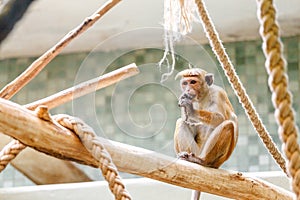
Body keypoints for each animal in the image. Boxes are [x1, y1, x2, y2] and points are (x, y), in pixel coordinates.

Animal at [175, 68, 238, 199]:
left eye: (193, 82)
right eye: (185, 83)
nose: (187, 89)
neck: (202, 98)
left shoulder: (218, 93)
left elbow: (220, 118)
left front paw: (190, 109)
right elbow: (187, 122)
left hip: (216, 160)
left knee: (228, 125)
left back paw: (202, 161)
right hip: (195, 149)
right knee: (181, 122)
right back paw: (186, 158)